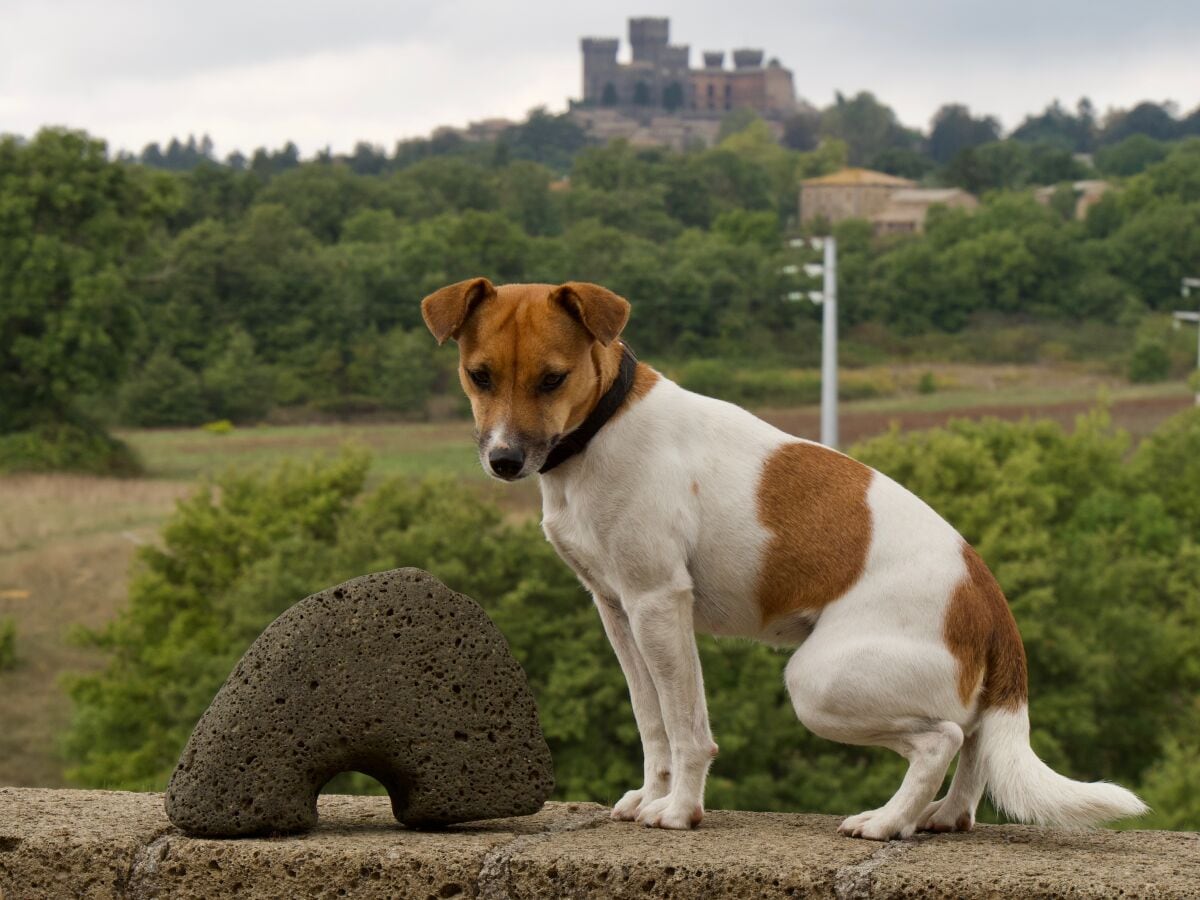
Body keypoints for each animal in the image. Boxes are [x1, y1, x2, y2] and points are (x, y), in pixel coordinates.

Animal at [420, 278, 1142, 844]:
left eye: (553, 378)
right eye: (480, 375)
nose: (505, 460)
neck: (602, 428)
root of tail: (987, 596)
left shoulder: (658, 604)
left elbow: (686, 726)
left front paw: (679, 811)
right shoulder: (616, 610)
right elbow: (651, 721)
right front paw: (650, 796)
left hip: (817, 683)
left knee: (942, 739)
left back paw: (888, 822)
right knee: (973, 742)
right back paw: (941, 816)